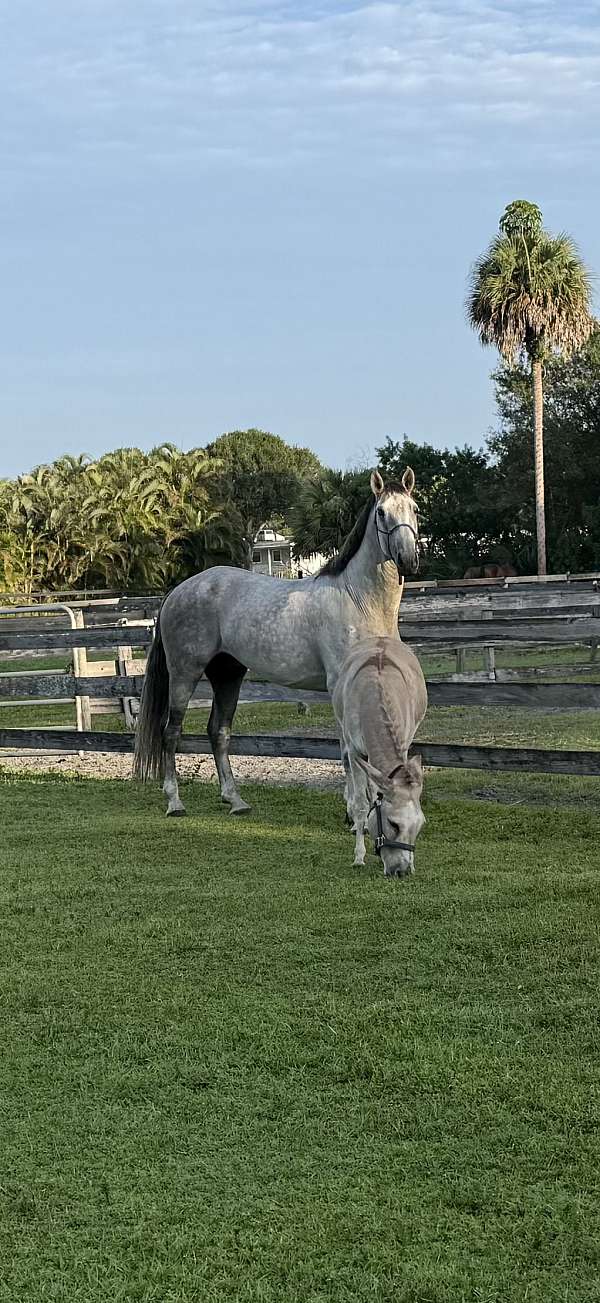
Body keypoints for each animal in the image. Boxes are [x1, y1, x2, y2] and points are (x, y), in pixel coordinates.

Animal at [133, 468, 420, 816]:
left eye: (414, 508)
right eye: (381, 512)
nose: (408, 560)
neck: (358, 599)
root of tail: (176, 592)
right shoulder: (339, 685)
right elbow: (348, 751)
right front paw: (356, 810)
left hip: (227, 674)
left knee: (219, 732)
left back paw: (235, 800)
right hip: (184, 674)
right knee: (171, 732)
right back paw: (175, 801)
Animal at [332, 636, 427, 876]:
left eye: (420, 825)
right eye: (393, 824)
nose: (401, 871)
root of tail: (380, 638)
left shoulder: (404, 745)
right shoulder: (355, 749)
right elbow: (361, 803)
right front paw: (359, 856)